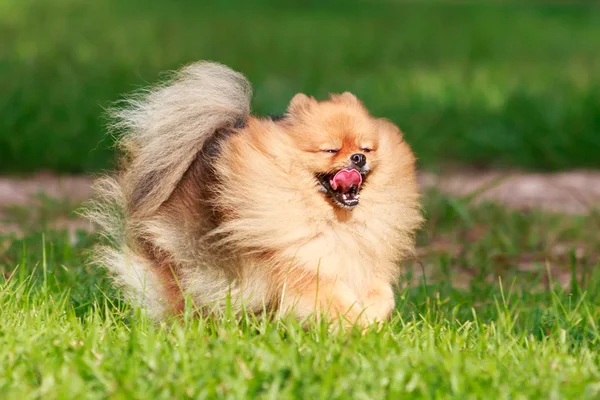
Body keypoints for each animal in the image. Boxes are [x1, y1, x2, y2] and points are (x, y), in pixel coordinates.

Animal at [89, 61, 424, 326]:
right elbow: (333, 297)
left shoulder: (360, 263)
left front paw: (373, 316)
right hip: (184, 262)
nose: (357, 159)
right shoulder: (300, 269)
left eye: (367, 149)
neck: (335, 223)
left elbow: (384, 294)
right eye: (330, 150)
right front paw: (356, 321)